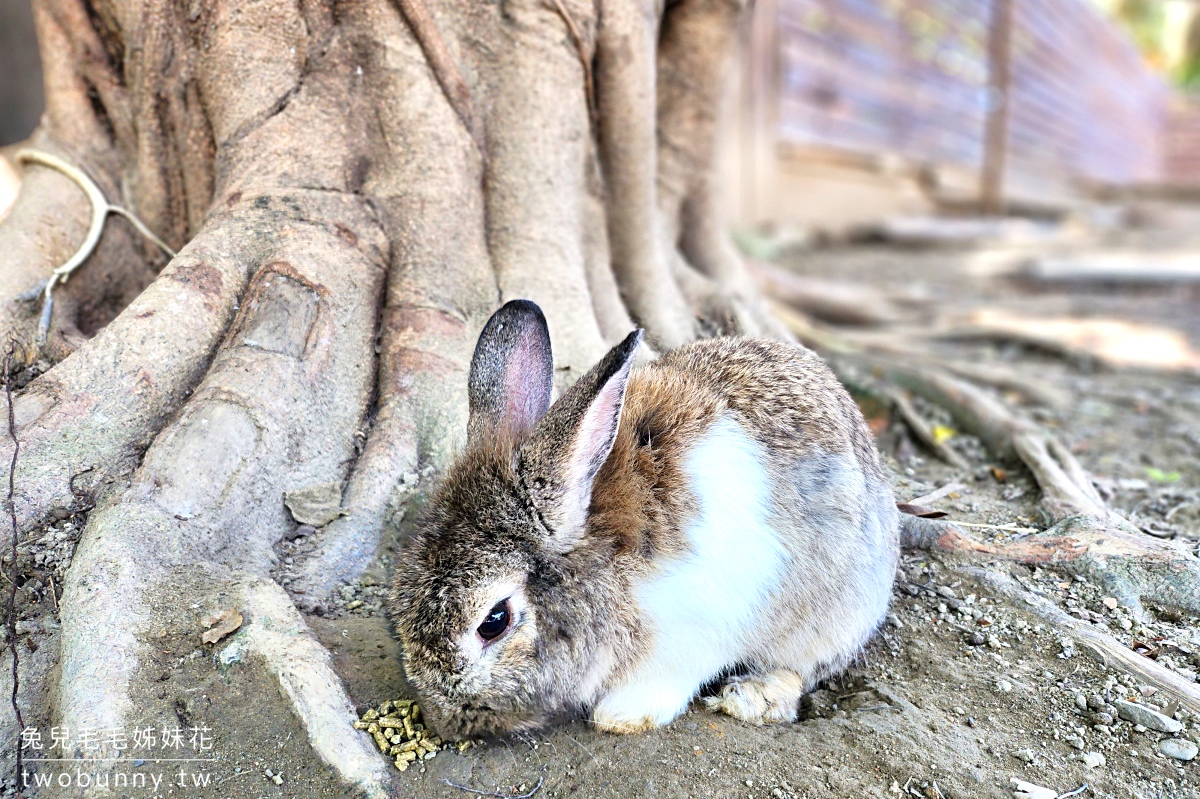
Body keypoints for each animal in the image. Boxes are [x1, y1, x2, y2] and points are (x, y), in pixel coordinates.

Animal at [388, 302, 897, 739]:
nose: (444, 721)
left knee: (803, 668)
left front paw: (621, 716)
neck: (604, 554)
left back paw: (752, 698)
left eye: (493, 621)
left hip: (835, 613)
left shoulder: (702, 628)